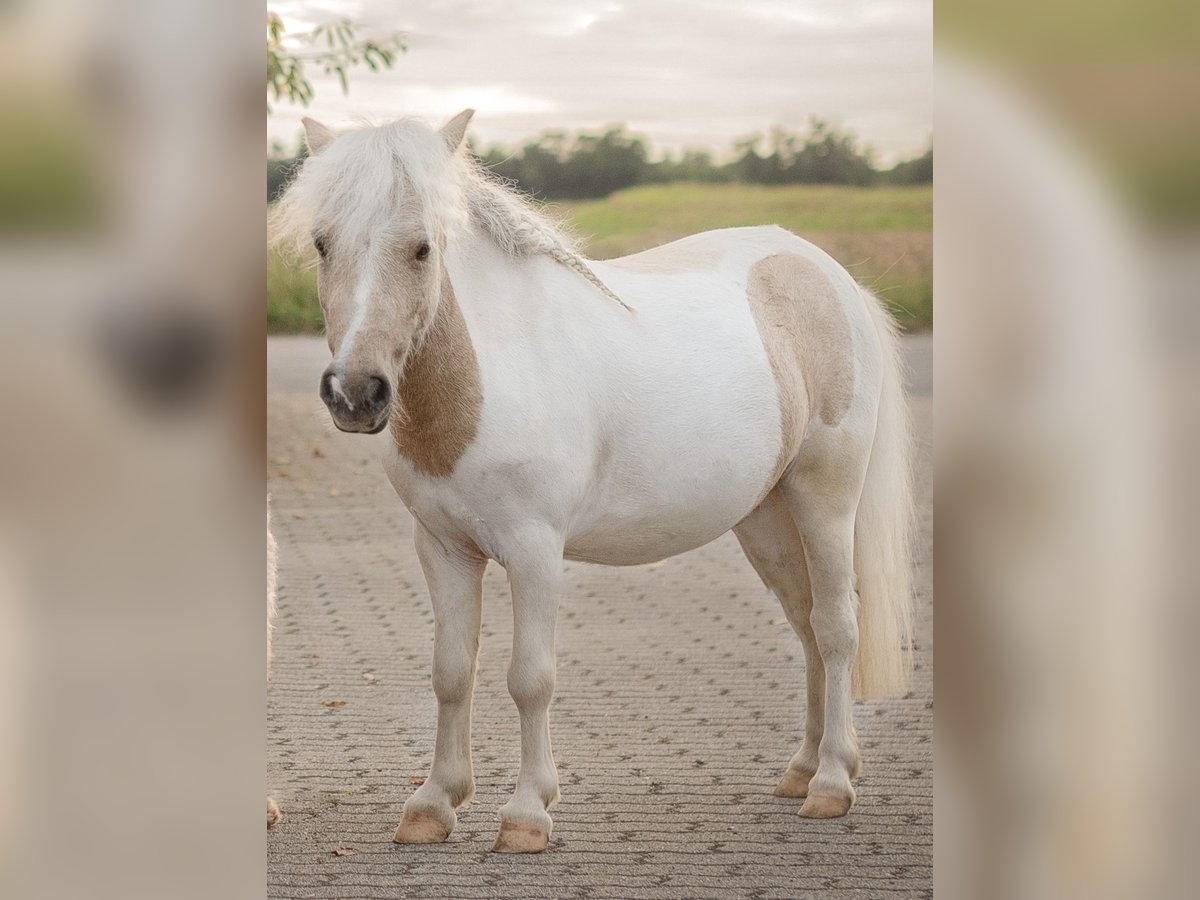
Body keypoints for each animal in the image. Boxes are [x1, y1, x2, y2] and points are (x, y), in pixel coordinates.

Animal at [270, 111, 907, 854]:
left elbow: (530, 679)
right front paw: (433, 804)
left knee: (835, 627)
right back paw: (803, 769)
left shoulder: (535, 550)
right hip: (767, 519)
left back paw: (832, 783)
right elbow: (452, 672)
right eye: (322, 244)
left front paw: (526, 814)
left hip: (824, 500)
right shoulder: (444, 549)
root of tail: (828, 275)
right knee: (805, 624)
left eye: (422, 249)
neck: (492, 373)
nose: (355, 393)